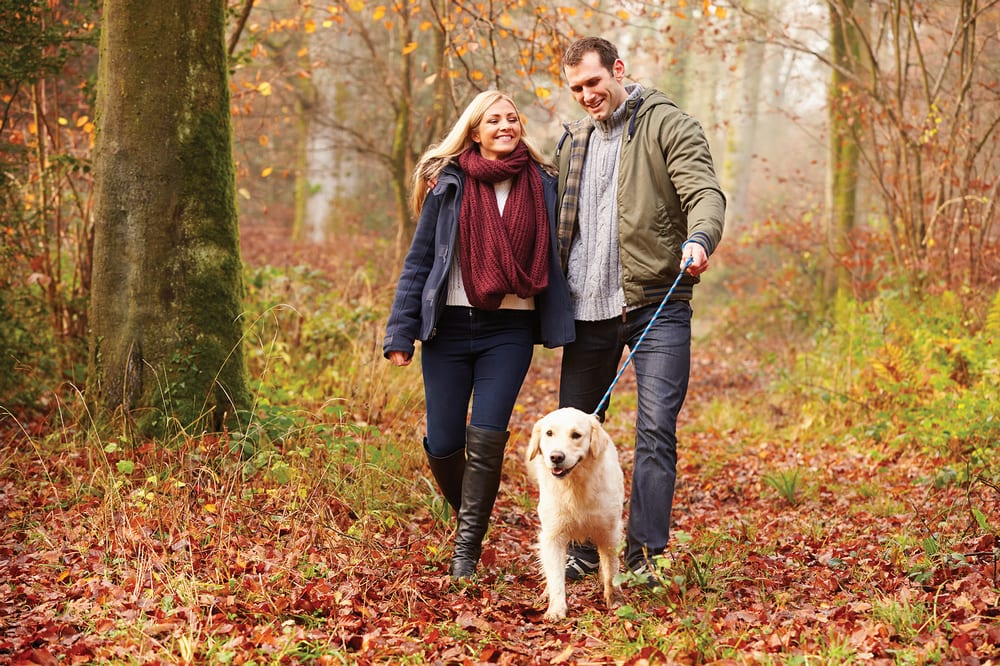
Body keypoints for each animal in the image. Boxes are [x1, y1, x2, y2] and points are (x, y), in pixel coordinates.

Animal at [528, 408, 620, 620]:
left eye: (576, 435)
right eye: (549, 433)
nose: (556, 457)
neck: (574, 486)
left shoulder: (609, 532)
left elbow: (611, 571)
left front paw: (613, 601)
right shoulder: (553, 535)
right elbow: (555, 576)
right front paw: (556, 609)